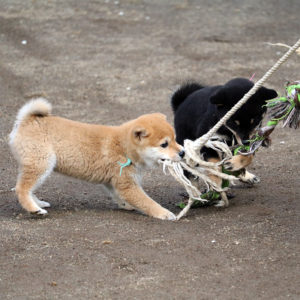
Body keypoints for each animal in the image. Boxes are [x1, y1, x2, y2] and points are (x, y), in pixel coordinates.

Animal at [9, 98, 184, 220]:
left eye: (175, 139)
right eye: (164, 144)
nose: (183, 152)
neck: (124, 147)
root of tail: (26, 120)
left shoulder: (114, 181)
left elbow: (117, 195)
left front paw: (125, 205)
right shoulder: (127, 184)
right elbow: (147, 202)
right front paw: (164, 213)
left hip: (39, 165)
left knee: (27, 188)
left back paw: (38, 203)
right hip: (42, 163)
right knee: (21, 189)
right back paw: (34, 209)